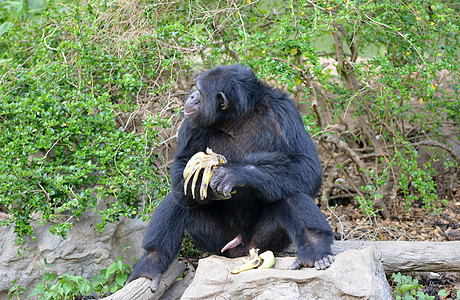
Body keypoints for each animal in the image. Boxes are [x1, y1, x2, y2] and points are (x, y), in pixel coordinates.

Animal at [126, 63, 334, 290]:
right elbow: (183, 165)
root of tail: (240, 248)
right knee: (178, 198)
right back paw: (151, 263)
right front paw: (204, 180)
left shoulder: (284, 111)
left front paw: (233, 174)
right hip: (217, 242)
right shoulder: (192, 123)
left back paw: (315, 250)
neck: (234, 120)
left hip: (264, 241)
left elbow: (305, 164)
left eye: (199, 91)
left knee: (288, 189)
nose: (191, 95)